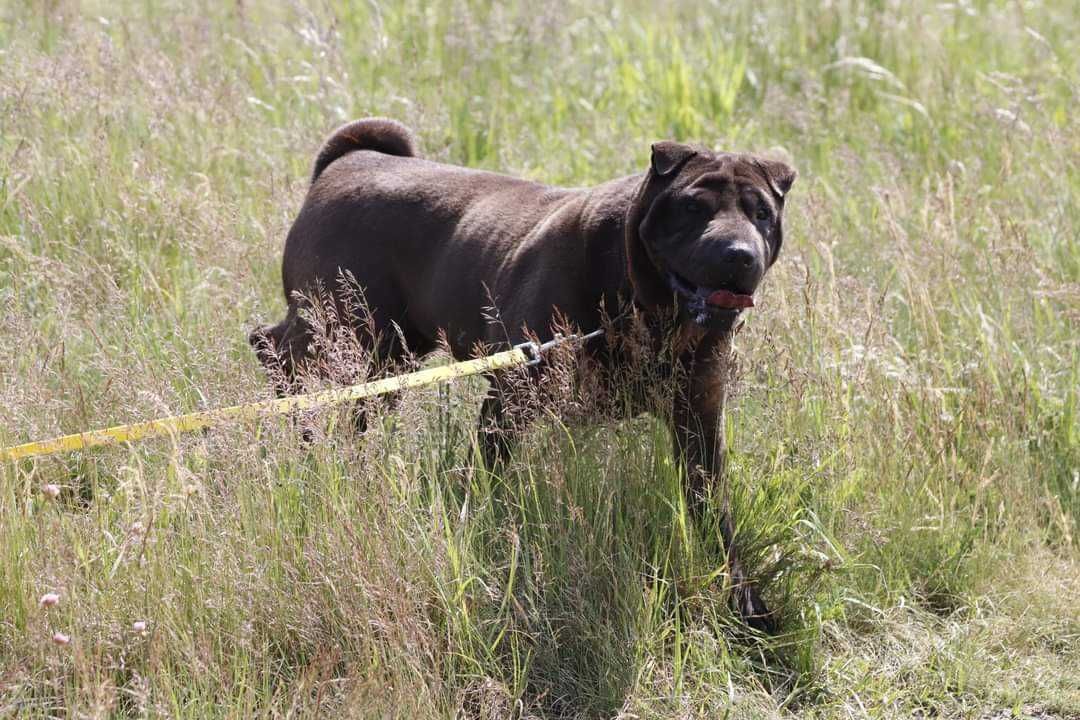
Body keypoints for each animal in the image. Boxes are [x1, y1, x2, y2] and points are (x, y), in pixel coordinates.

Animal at [250, 118, 794, 630]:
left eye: (761, 213)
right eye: (694, 208)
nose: (738, 253)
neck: (643, 305)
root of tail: (347, 162)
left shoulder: (698, 418)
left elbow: (715, 515)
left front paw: (745, 604)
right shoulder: (512, 395)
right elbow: (485, 479)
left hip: (393, 351)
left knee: (356, 403)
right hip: (338, 324)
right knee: (272, 350)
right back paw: (300, 429)